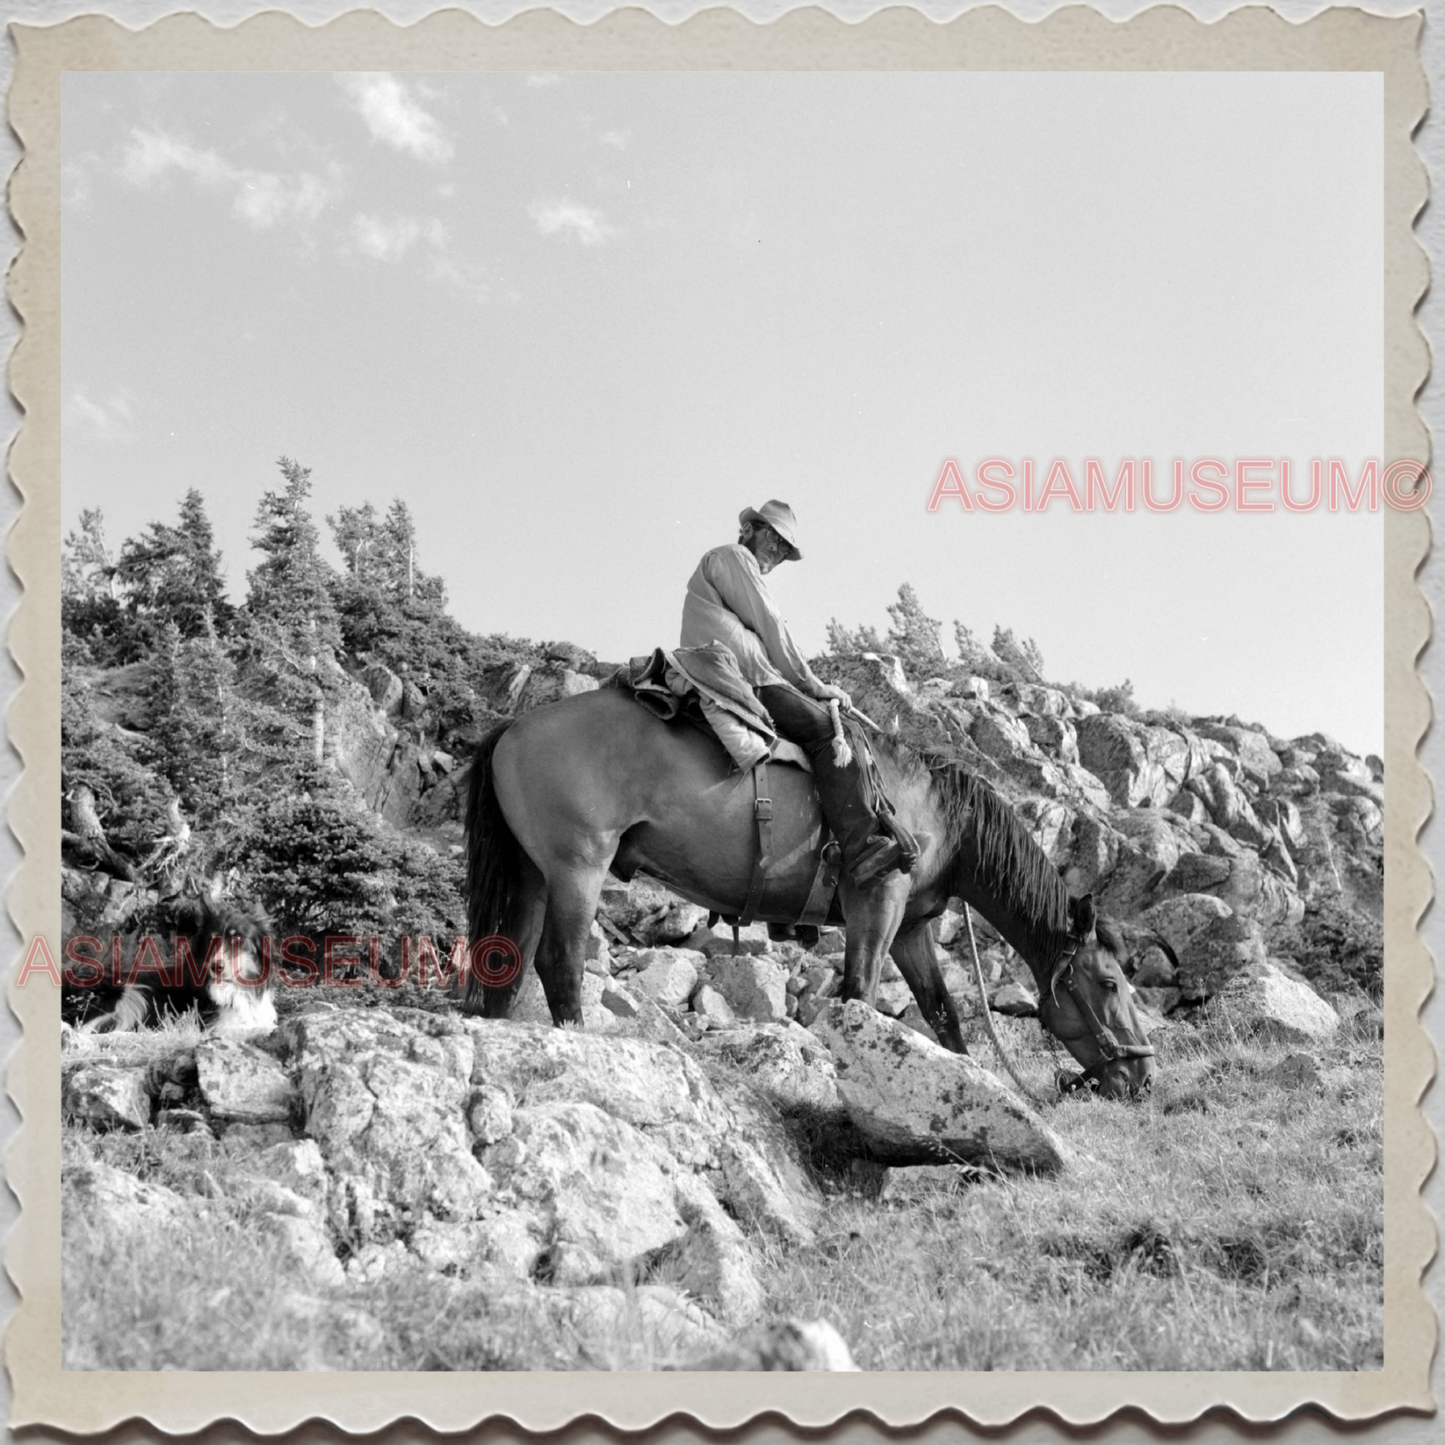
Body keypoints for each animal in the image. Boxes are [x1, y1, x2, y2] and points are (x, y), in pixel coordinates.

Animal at [63, 890, 275, 1040]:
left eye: (237, 939)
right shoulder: (215, 1026)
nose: (215, 967)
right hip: (131, 995)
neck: (237, 988)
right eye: (211, 940)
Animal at [468, 682, 1156, 1098]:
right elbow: (860, 994)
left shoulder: (911, 929)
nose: (1142, 1076)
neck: (943, 819)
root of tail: (513, 727)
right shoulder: (876, 903)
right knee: (559, 963)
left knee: (507, 967)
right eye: (1109, 983)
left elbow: (943, 1013)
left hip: (533, 877)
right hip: (577, 868)